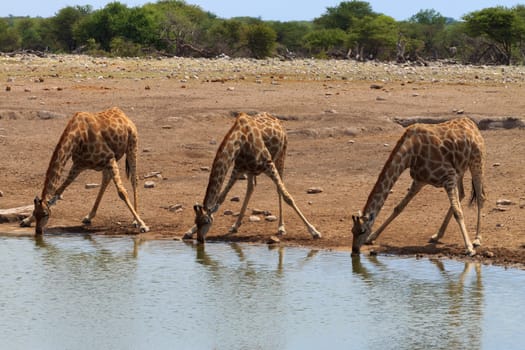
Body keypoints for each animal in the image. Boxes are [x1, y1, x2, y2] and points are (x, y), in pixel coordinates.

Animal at [20, 106, 147, 235]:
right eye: (35, 213)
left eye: (45, 214)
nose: (38, 231)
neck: (78, 136)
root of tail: (123, 114)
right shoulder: (78, 164)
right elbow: (59, 191)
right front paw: (26, 220)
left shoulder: (110, 158)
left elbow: (122, 192)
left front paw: (143, 225)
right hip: (105, 164)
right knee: (106, 180)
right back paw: (89, 217)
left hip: (132, 146)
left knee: (134, 179)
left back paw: (135, 221)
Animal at [182, 112, 322, 243]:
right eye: (196, 221)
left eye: (206, 221)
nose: (200, 239)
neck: (240, 141)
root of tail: (276, 119)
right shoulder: (238, 168)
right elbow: (221, 197)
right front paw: (189, 231)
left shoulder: (268, 164)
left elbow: (287, 197)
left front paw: (314, 231)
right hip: (251, 170)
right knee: (251, 187)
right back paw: (235, 225)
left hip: (281, 155)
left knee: (278, 189)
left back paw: (281, 227)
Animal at [350, 117, 486, 258]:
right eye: (352, 231)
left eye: (362, 231)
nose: (354, 250)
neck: (410, 153)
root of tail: (471, 123)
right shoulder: (420, 180)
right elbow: (399, 207)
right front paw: (372, 237)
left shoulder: (448, 176)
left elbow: (458, 212)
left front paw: (469, 248)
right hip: (460, 169)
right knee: (462, 194)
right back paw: (437, 236)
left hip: (477, 161)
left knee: (480, 197)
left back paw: (477, 239)